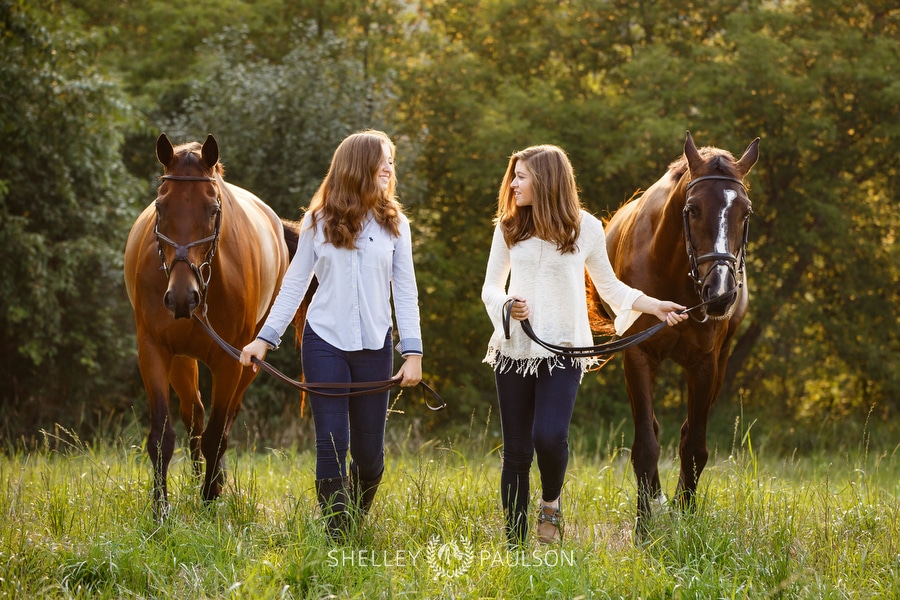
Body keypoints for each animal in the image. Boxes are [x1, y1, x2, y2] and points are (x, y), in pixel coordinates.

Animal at [125, 134, 296, 516]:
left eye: (213, 208)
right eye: (161, 206)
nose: (181, 298)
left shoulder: (229, 362)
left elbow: (217, 435)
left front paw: (208, 500)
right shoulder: (153, 351)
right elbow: (162, 436)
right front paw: (161, 511)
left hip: (250, 363)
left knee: (223, 421)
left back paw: (213, 483)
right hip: (182, 359)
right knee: (194, 416)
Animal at [592, 131, 760, 536]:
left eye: (745, 212)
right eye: (693, 209)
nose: (720, 292)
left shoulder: (705, 364)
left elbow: (694, 446)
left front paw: (687, 516)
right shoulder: (638, 355)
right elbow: (646, 444)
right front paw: (643, 527)